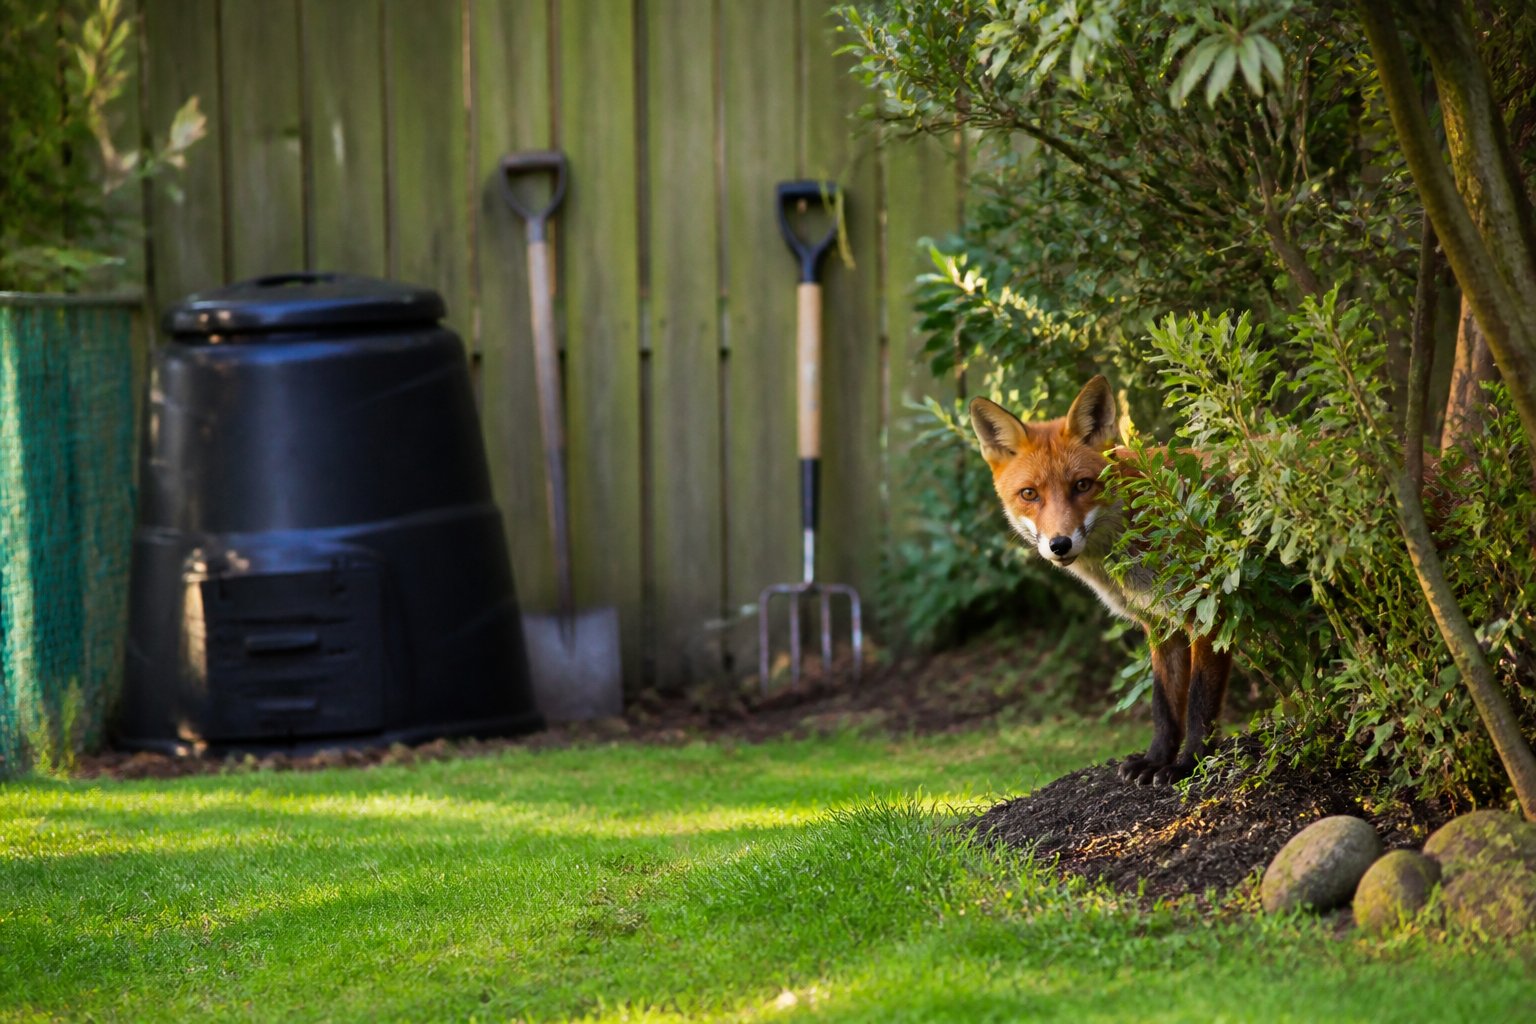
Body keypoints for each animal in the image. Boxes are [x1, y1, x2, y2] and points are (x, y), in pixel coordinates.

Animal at [968, 375, 1231, 786]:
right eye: (1029, 494)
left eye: (1082, 485)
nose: (1059, 544)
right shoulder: (1160, 624)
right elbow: (1163, 705)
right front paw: (1155, 760)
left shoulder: (1209, 610)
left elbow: (1199, 704)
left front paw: (1189, 765)